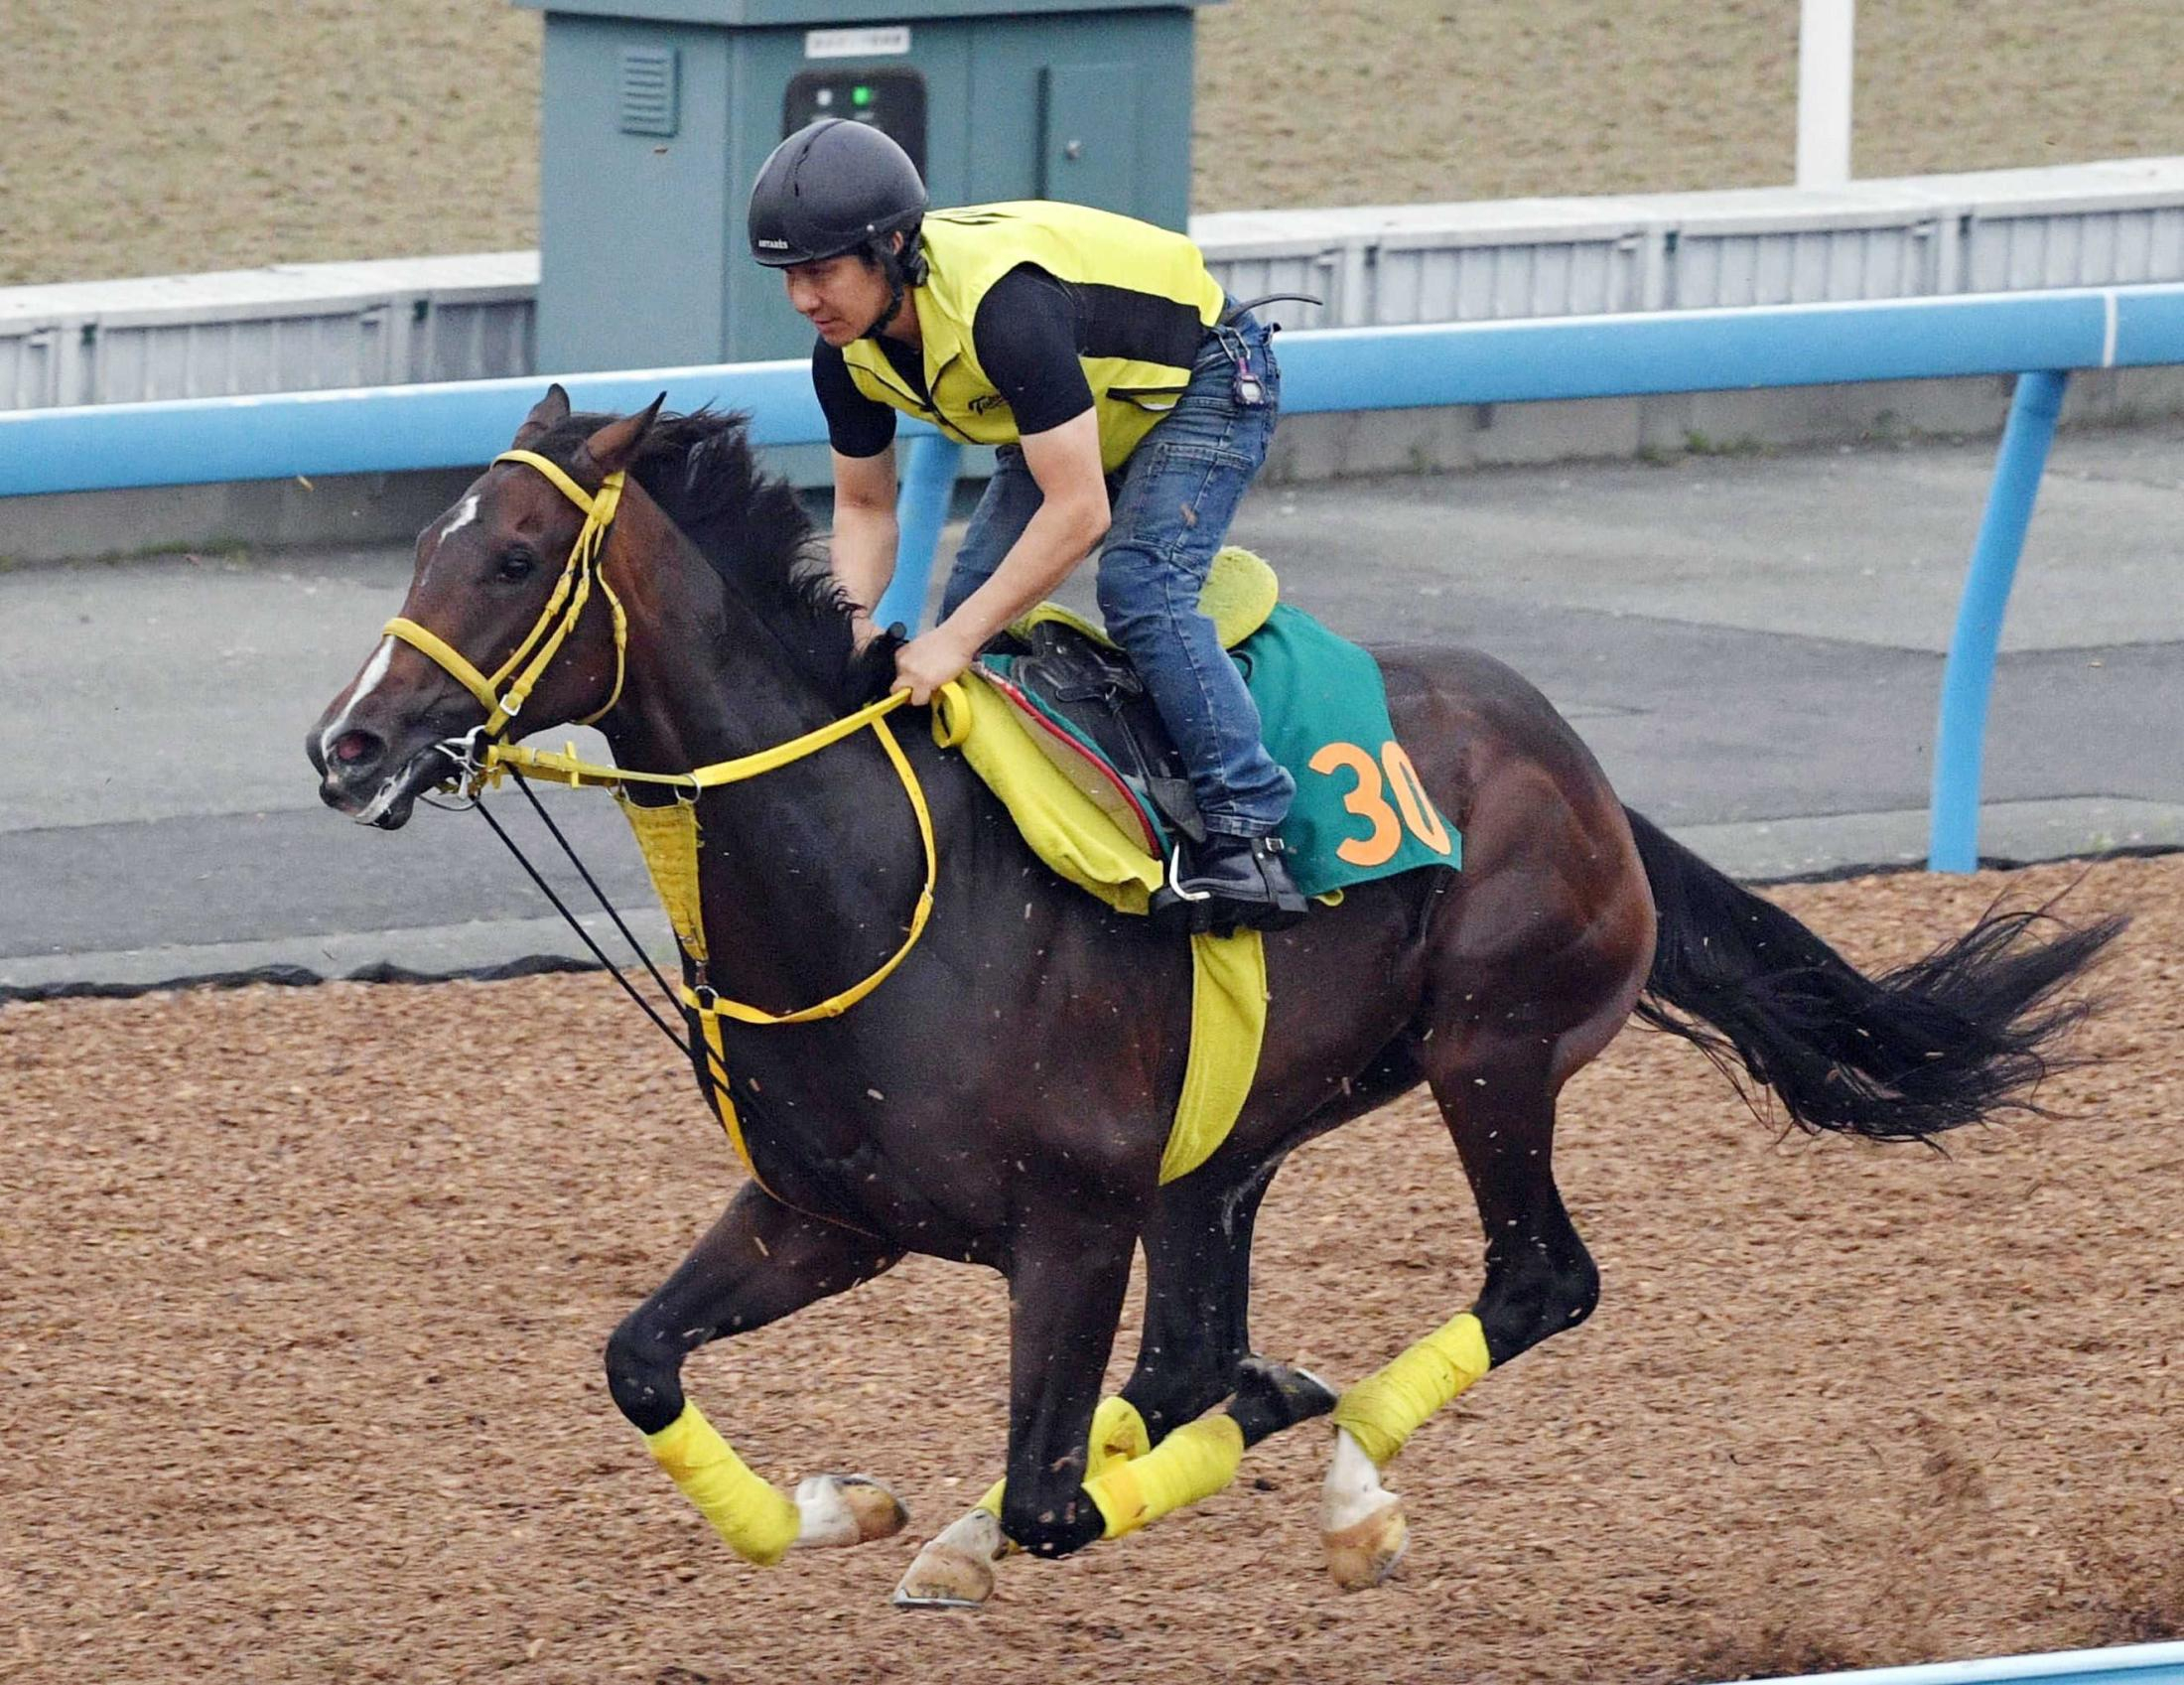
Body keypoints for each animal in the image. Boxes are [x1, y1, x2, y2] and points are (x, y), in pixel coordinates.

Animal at [307, 387, 2122, 1604]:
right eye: (426, 542)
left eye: (515, 556)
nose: (347, 742)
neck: (871, 879)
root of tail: (1582, 768)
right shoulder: (827, 1209)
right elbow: (640, 1360)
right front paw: (851, 1510)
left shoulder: (1069, 1222)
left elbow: (1056, 1496)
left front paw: (1171, 1463)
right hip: (1236, 1138)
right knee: (1196, 1350)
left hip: (1493, 1051)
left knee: (1539, 1280)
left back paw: (1352, 1483)